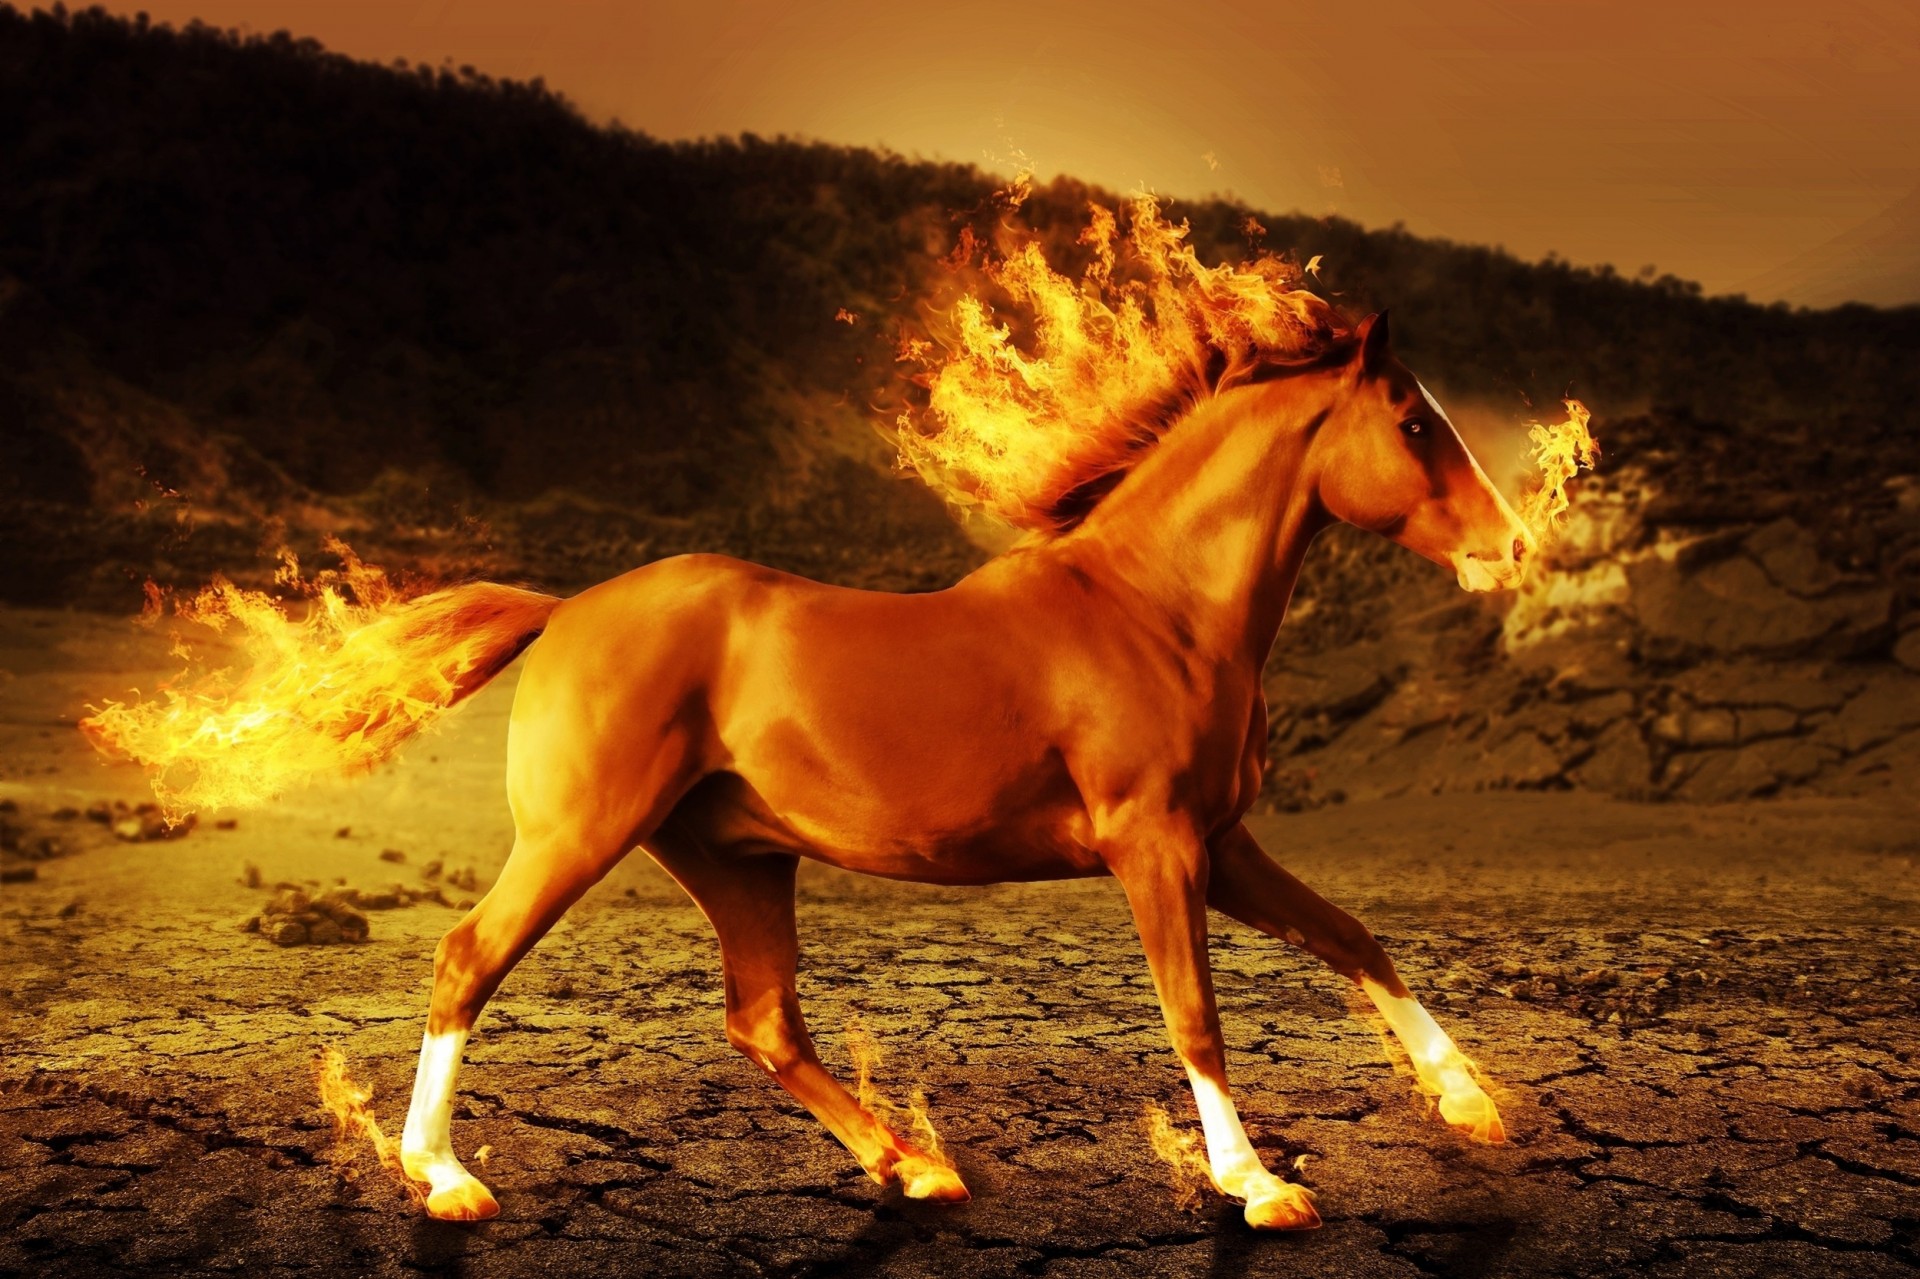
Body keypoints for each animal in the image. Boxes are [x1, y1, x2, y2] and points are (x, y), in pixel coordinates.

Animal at [366, 310, 1533, 1230]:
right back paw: (445, 1178)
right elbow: (1194, 1014)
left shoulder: (1222, 841)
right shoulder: (1154, 844)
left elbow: (1353, 936)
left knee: (764, 1021)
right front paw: (1258, 1185)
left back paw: (914, 1166)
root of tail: (564, 608)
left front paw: (1472, 1103)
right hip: (577, 836)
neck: (1152, 607)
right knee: (466, 960)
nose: (1515, 545)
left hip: (739, 862)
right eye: (1415, 422)